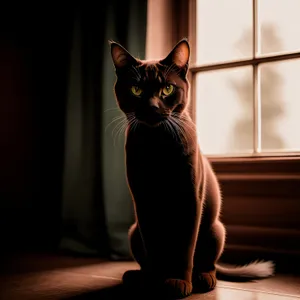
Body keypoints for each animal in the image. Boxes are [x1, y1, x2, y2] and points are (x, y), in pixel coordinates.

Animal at [109, 38, 274, 298]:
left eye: (167, 89)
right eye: (136, 90)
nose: (152, 107)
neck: (157, 145)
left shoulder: (190, 199)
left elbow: (184, 249)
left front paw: (179, 282)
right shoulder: (144, 202)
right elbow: (154, 248)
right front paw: (154, 280)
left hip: (216, 231)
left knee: (209, 264)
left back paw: (204, 278)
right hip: (133, 232)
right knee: (145, 257)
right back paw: (137, 275)